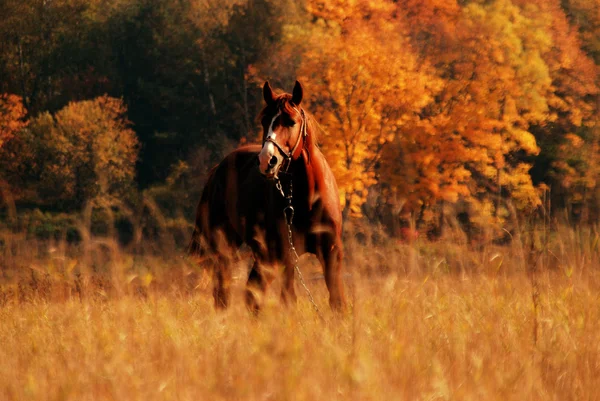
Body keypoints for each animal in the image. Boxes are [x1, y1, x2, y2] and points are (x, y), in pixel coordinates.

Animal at [188, 79, 346, 310]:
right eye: (264, 121)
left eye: (291, 122)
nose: (266, 161)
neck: (307, 198)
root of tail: (219, 168)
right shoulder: (286, 255)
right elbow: (288, 299)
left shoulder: (331, 252)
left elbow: (337, 300)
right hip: (229, 248)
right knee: (225, 293)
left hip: (262, 256)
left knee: (251, 294)